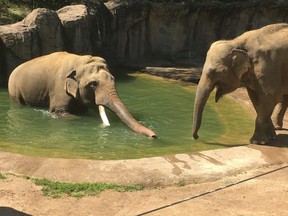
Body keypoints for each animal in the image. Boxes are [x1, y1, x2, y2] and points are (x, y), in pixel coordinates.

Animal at [9, 51, 156, 138]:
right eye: (93, 84)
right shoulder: (59, 87)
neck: (79, 61)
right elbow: (60, 112)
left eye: (113, 79)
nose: (154, 135)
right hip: (14, 91)